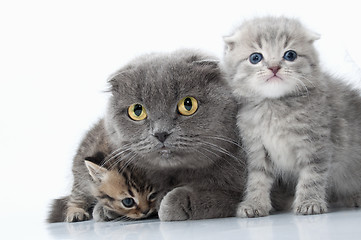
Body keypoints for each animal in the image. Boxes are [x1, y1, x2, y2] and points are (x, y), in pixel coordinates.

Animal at [48, 49, 245, 223]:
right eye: (137, 111)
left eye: (188, 104)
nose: (161, 133)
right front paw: (105, 209)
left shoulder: (238, 185)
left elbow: (218, 196)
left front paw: (170, 203)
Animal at [224, 15, 361, 217]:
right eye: (255, 57)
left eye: (290, 55)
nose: (274, 67)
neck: (274, 107)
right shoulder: (257, 148)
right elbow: (258, 179)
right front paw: (255, 203)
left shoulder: (316, 144)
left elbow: (312, 176)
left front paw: (309, 202)